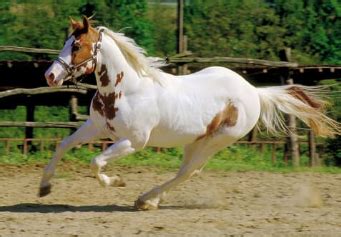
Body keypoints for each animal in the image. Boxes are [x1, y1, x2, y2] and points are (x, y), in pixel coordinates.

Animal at [39, 16, 338, 209]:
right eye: (66, 42)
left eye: (76, 46)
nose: (50, 76)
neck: (127, 89)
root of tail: (253, 91)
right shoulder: (96, 126)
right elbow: (63, 145)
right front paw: (44, 187)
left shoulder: (134, 142)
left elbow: (96, 162)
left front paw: (116, 181)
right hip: (195, 141)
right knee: (186, 172)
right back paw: (151, 199)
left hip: (216, 141)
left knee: (188, 172)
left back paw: (145, 200)